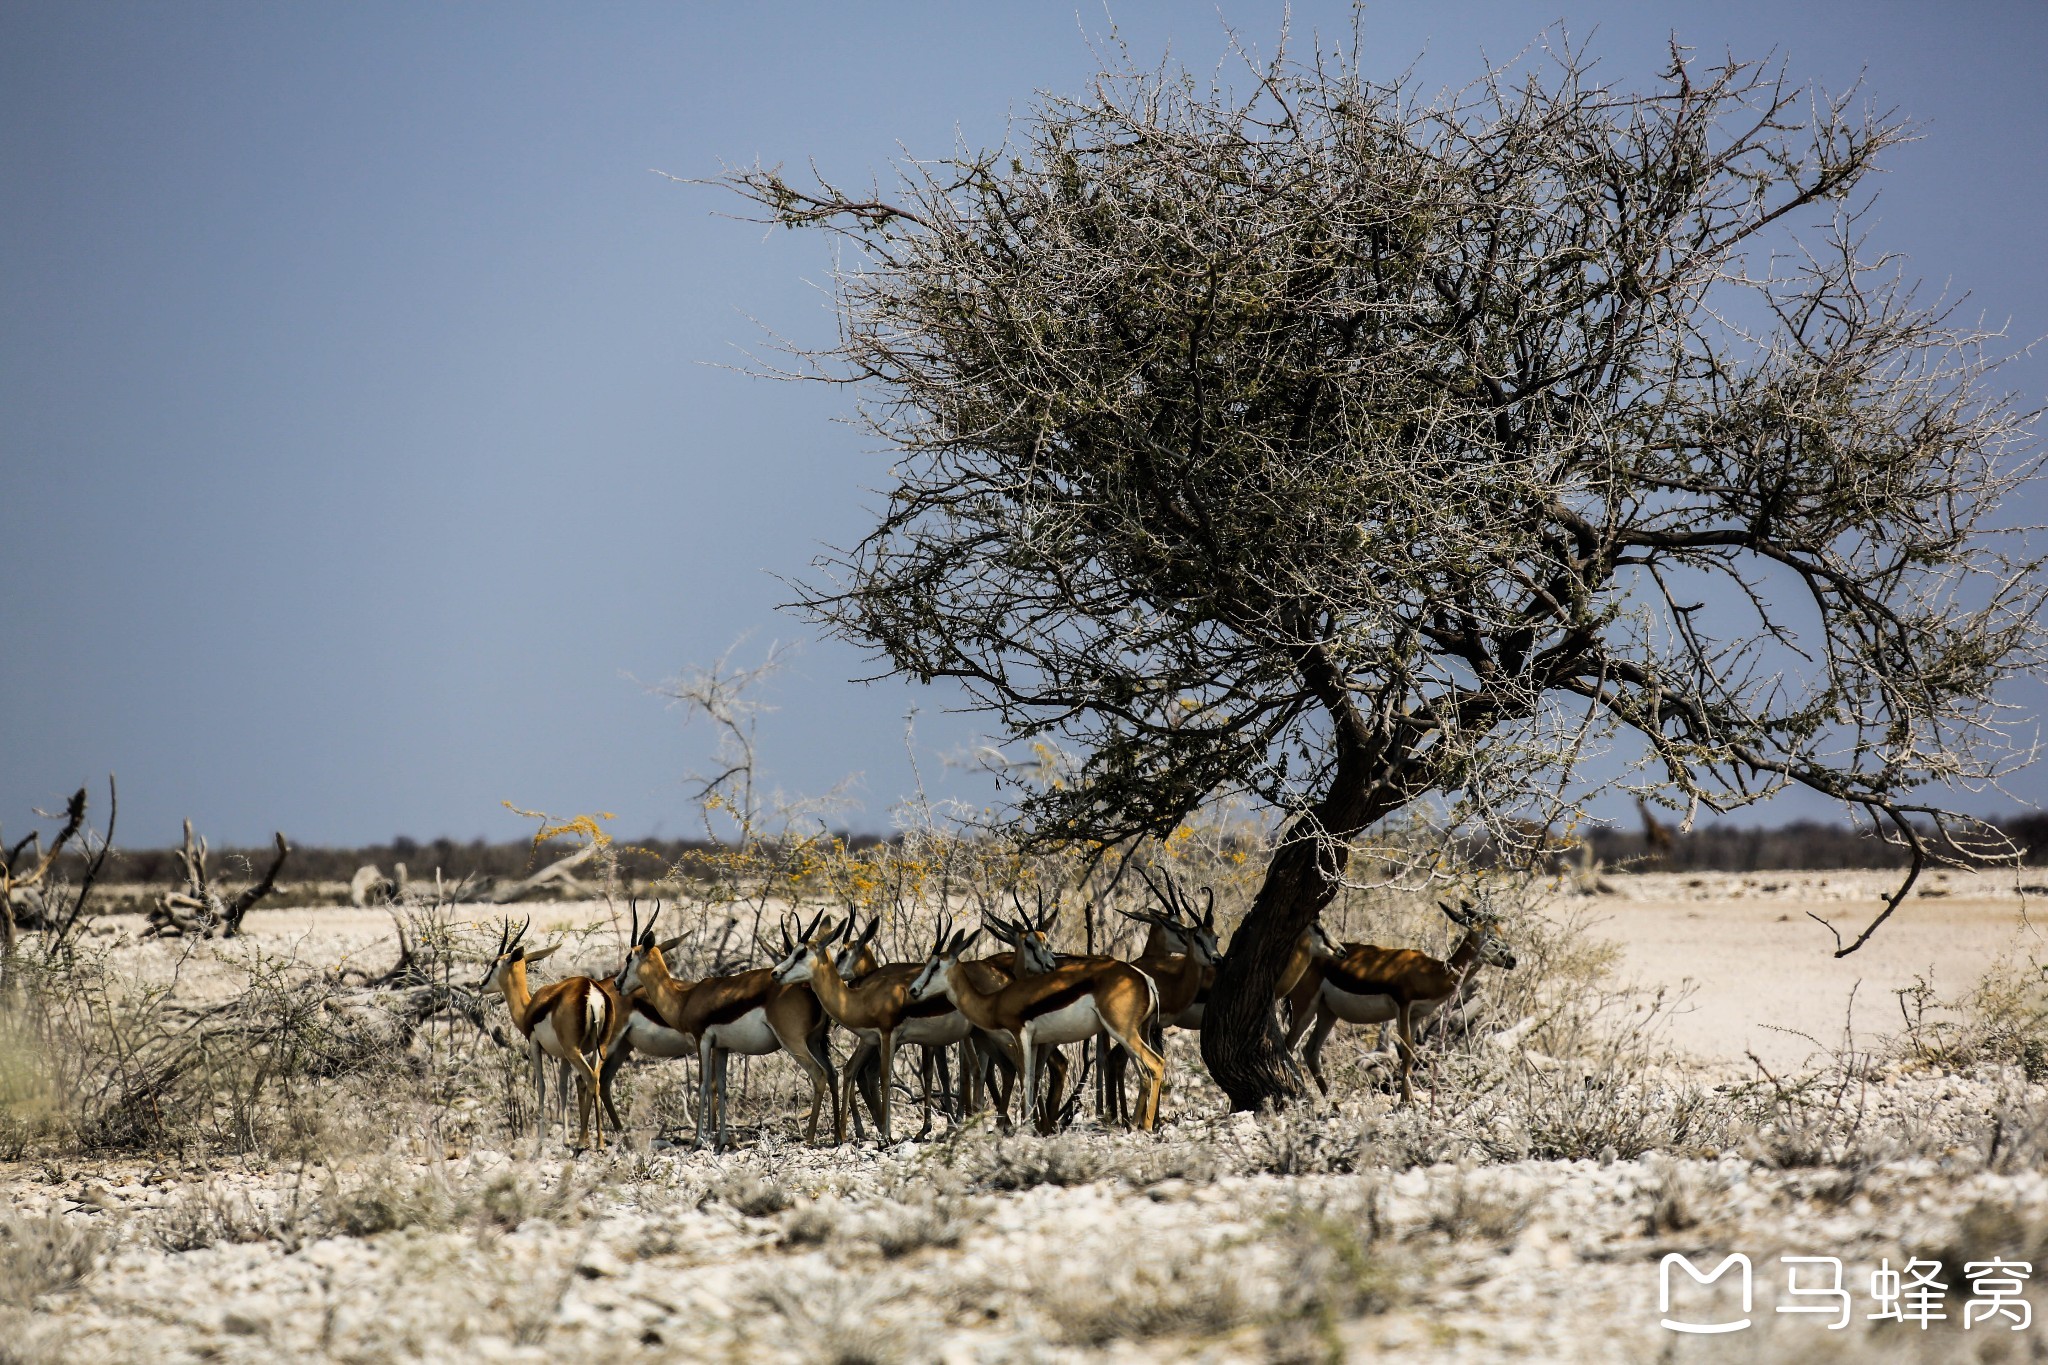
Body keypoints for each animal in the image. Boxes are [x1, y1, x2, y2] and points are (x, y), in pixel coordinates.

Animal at [477, 916, 626, 1154]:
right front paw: (565, 1139)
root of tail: (592, 991)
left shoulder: (534, 1044)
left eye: (494, 963)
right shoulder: (563, 1056)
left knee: (590, 1078)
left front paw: (540, 1143)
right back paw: (597, 1143)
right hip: (598, 1048)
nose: (479, 983)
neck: (529, 1008)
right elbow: (563, 1089)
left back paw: (584, 1142)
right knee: (596, 1079)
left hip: (575, 1051)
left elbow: (542, 1086)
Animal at [610, 912, 835, 1146]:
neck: (685, 999)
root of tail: (809, 990)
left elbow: (702, 1085)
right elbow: (721, 1086)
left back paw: (809, 1138)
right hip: (814, 1042)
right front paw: (721, 1140)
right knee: (833, 1073)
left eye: (629, 958)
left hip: (793, 1042)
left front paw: (698, 1140)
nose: (617, 983)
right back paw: (838, 1136)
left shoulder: (701, 1041)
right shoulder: (721, 1047)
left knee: (819, 1074)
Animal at [913, 925, 1171, 1137]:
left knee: (1156, 1063)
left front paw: (1026, 1127)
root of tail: (1144, 978)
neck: (995, 1002)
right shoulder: (1037, 1043)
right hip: (1129, 1035)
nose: (914, 990)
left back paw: (1147, 1126)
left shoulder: (1020, 1035)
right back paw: (1135, 1124)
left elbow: (1025, 1078)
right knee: (1144, 1072)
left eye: (935, 965)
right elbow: (1033, 1079)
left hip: (1123, 1032)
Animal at [1286, 900, 1515, 1105]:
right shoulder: (1402, 1007)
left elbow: (1411, 1052)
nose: (1512, 960)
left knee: (1310, 1051)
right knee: (1288, 1045)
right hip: (1305, 1006)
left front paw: (1409, 1101)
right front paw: (1407, 1103)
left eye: (1501, 931)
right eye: (1490, 936)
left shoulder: (1416, 1015)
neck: (1430, 973)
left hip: (1328, 1012)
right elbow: (1405, 1051)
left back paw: (1334, 1106)